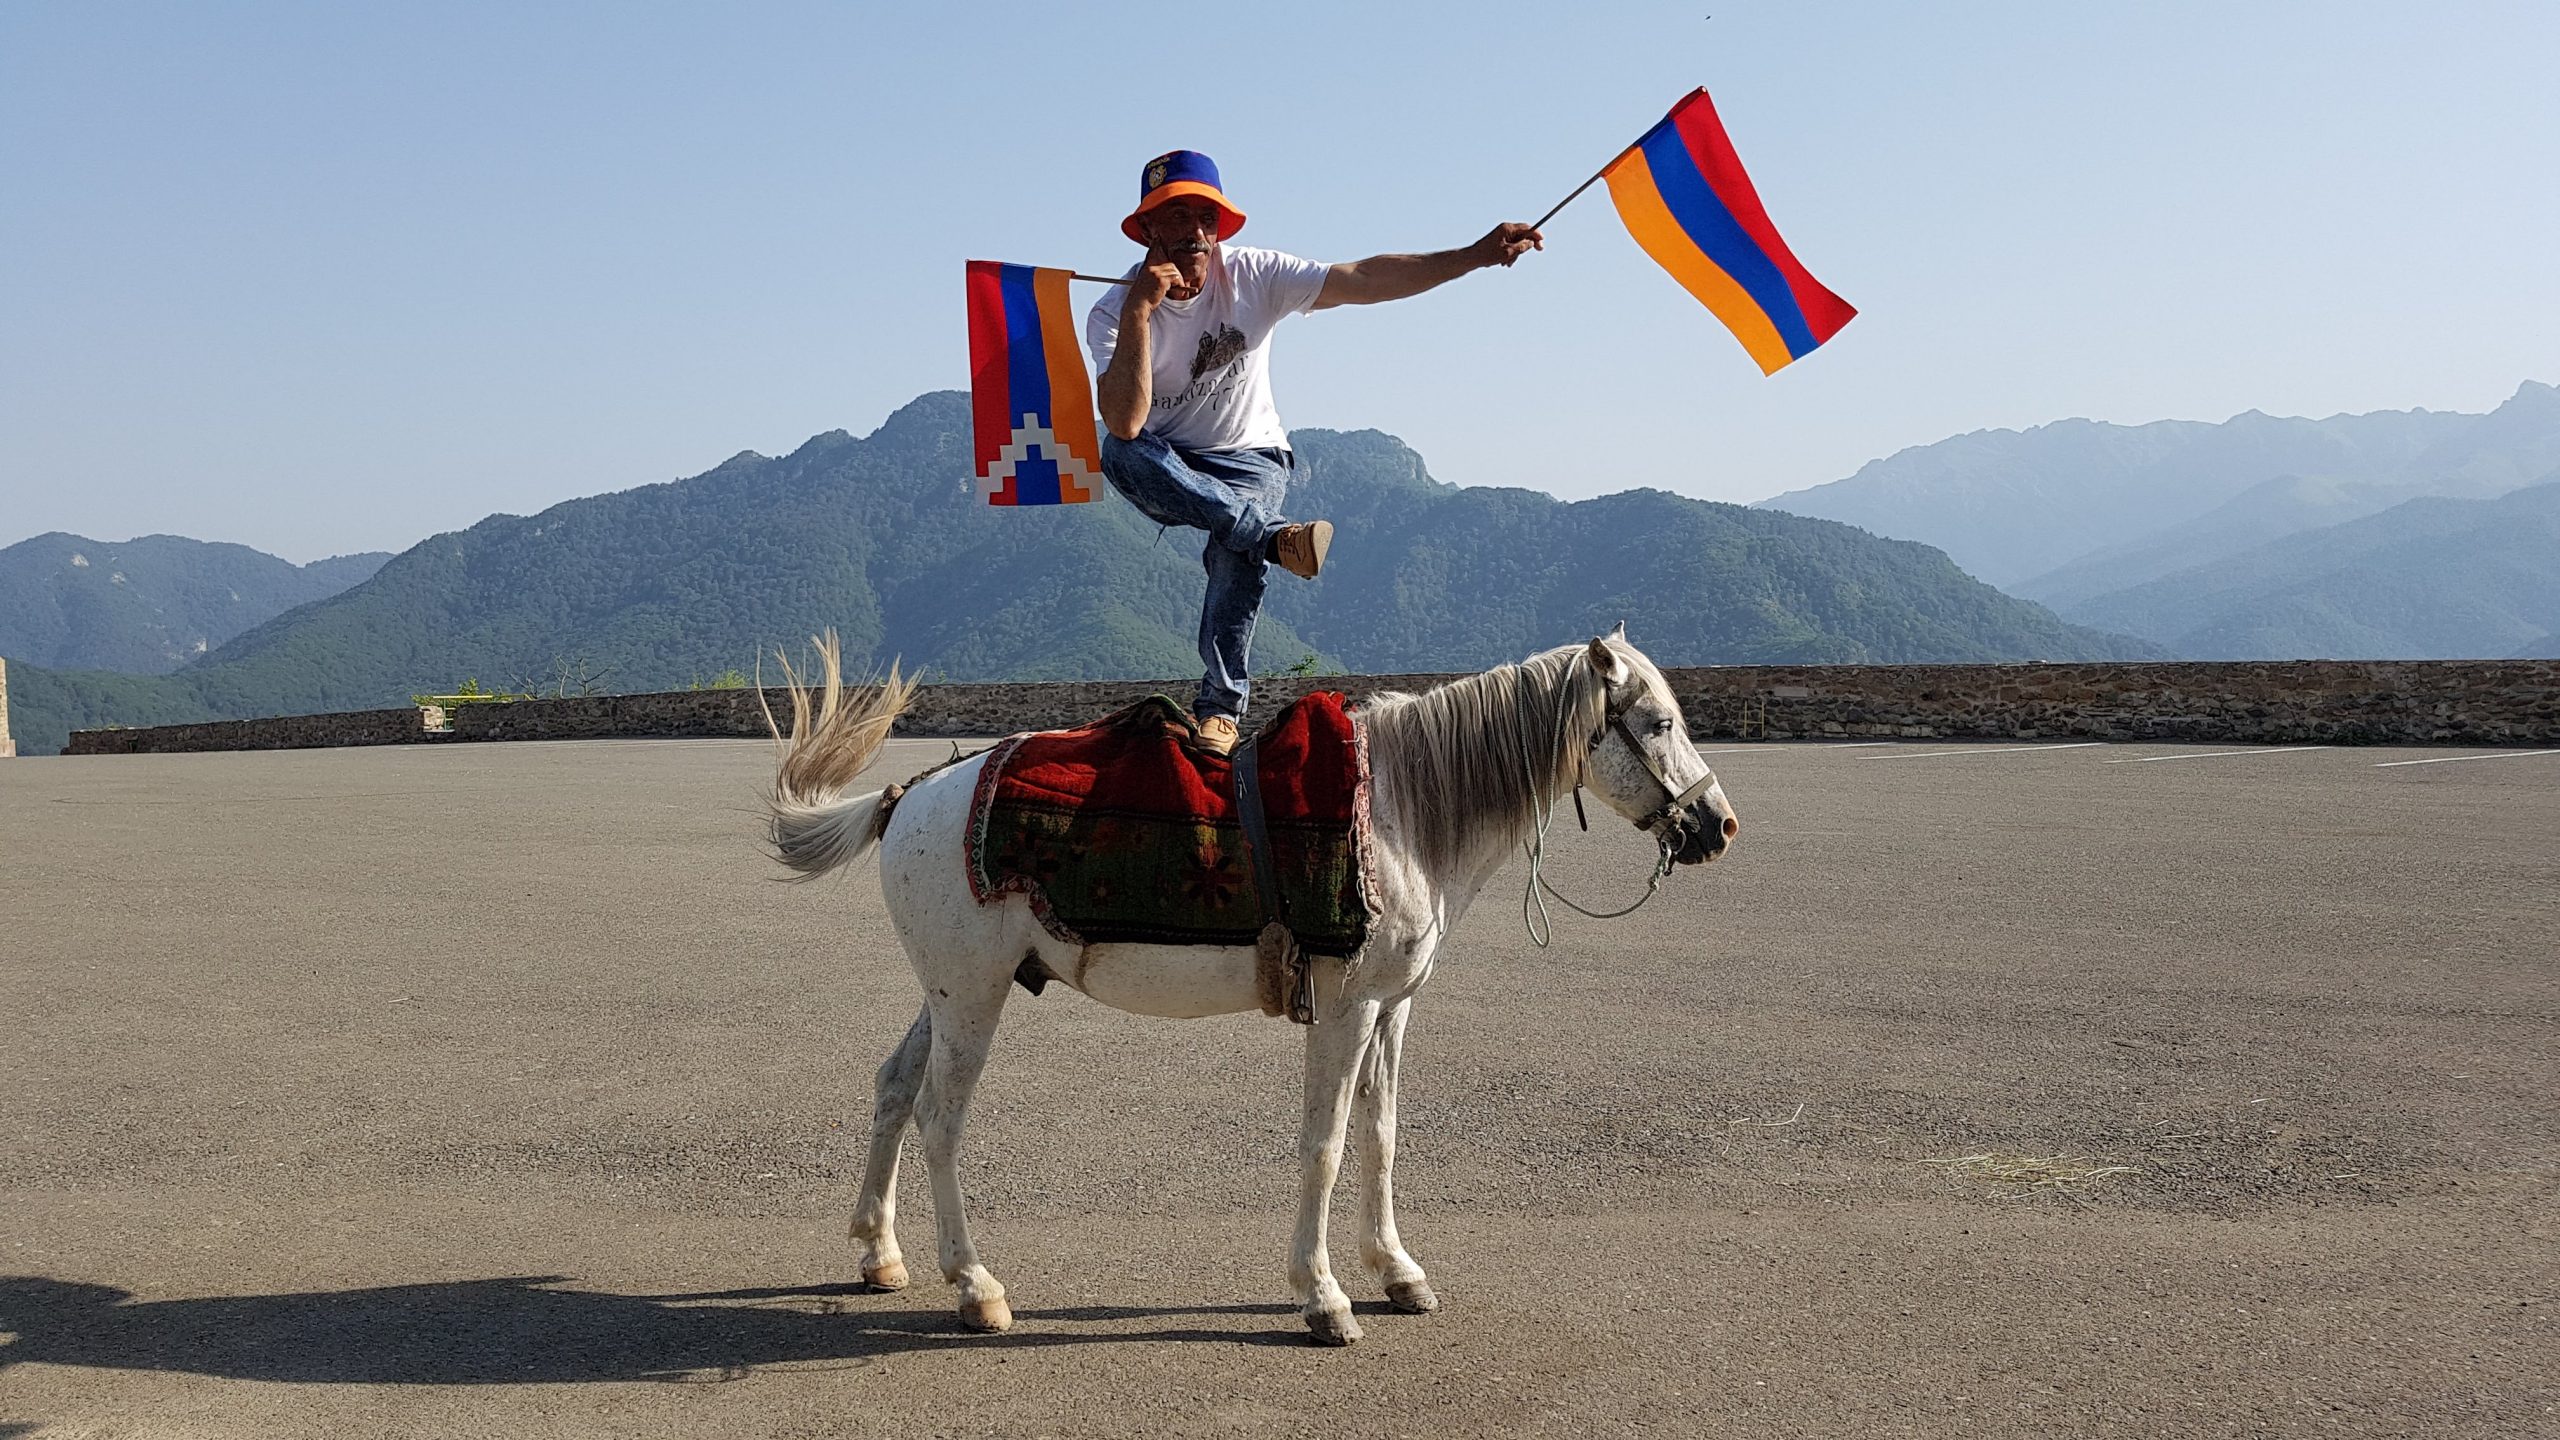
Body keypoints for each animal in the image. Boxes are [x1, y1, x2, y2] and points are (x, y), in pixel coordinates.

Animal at [762, 627, 1740, 1342]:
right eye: (1656, 723)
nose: (1718, 825)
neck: (1401, 812)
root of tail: (913, 795)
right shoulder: (1345, 1010)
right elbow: (1326, 1146)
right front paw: (1323, 1297)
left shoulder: (1392, 1010)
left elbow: (1382, 1136)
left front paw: (1397, 1271)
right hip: (973, 995)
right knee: (940, 1118)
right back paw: (974, 1286)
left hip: (952, 990)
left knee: (895, 1088)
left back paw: (879, 1254)